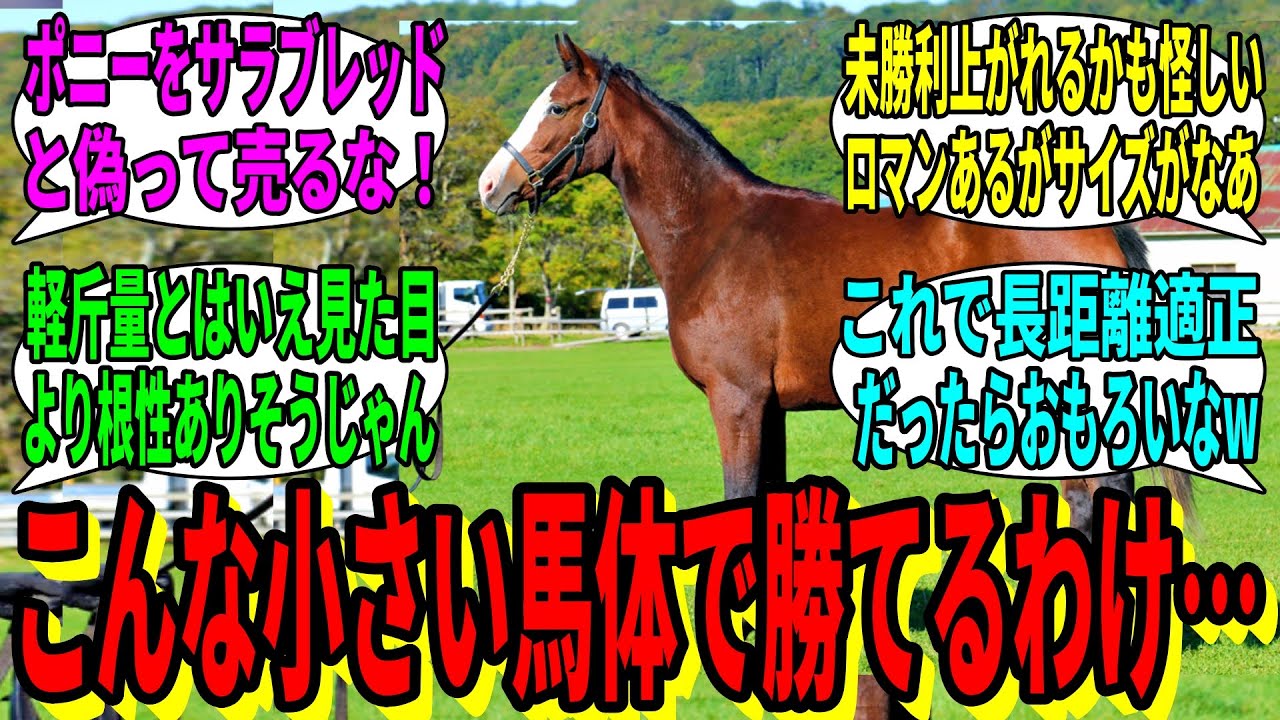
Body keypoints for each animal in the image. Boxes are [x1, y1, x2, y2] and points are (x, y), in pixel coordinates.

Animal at [477, 34, 1194, 533]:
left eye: (559, 107)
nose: (489, 186)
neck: (715, 233)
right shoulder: (768, 407)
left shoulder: (736, 399)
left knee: (1089, 492)